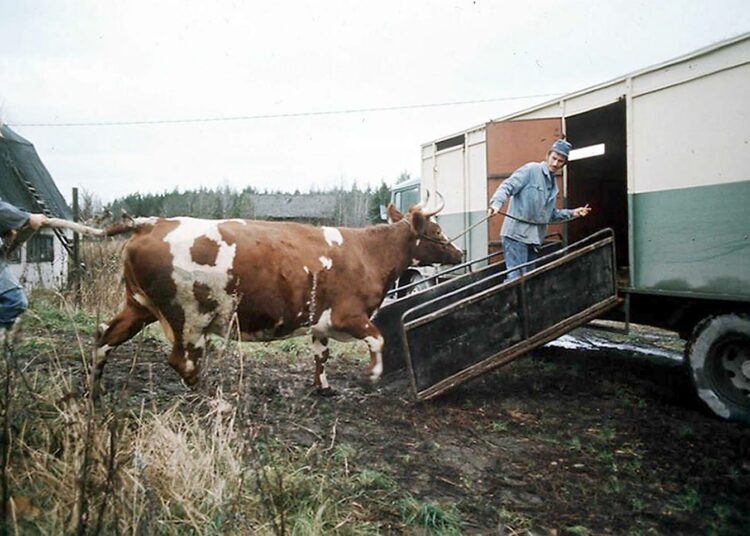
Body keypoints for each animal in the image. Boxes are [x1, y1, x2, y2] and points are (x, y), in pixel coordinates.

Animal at [89, 197, 464, 394]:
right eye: (436, 231)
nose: (459, 252)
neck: (368, 252)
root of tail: (151, 223)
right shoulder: (347, 315)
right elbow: (378, 339)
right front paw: (372, 375)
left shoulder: (319, 321)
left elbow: (321, 355)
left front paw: (323, 388)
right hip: (189, 318)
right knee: (182, 361)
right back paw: (207, 397)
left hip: (138, 305)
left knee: (105, 337)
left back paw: (95, 390)